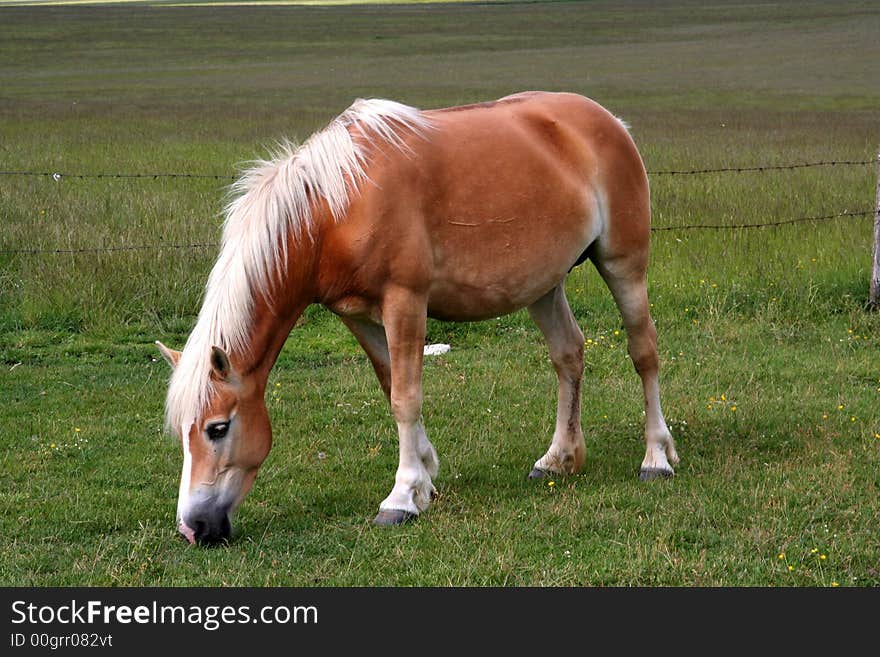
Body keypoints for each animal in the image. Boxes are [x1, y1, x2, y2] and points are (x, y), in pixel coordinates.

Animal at [156, 91, 680, 544]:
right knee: (569, 355)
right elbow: (391, 384)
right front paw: (426, 476)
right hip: (544, 285)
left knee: (644, 352)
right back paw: (558, 458)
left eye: (217, 428)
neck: (336, 206)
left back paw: (656, 456)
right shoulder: (358, 316)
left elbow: (406, 397)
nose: (192, 528)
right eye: (181, 433)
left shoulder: (404, 302)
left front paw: (402, 497)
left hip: (623, 264)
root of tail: (609, 121)